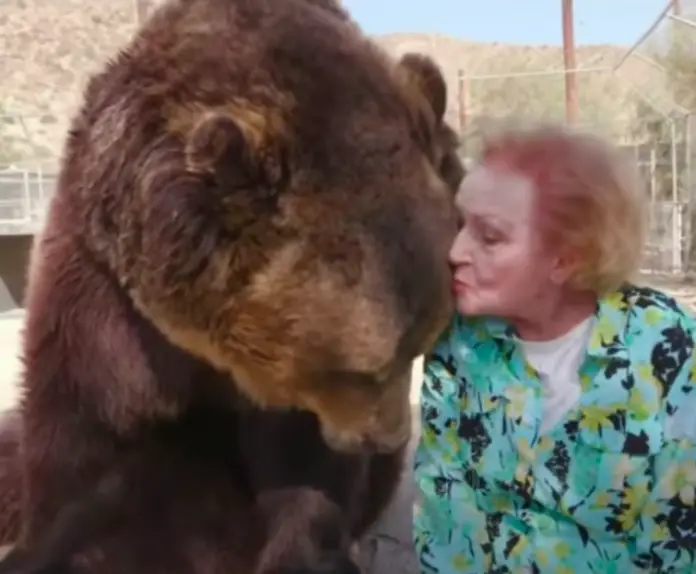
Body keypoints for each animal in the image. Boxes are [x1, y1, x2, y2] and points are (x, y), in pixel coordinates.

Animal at [0, 0, 464, 572]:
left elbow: (301, 470)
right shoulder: (102, 291)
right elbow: (86, 431)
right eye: (363, 370)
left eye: (421, 347)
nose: (385, 438)